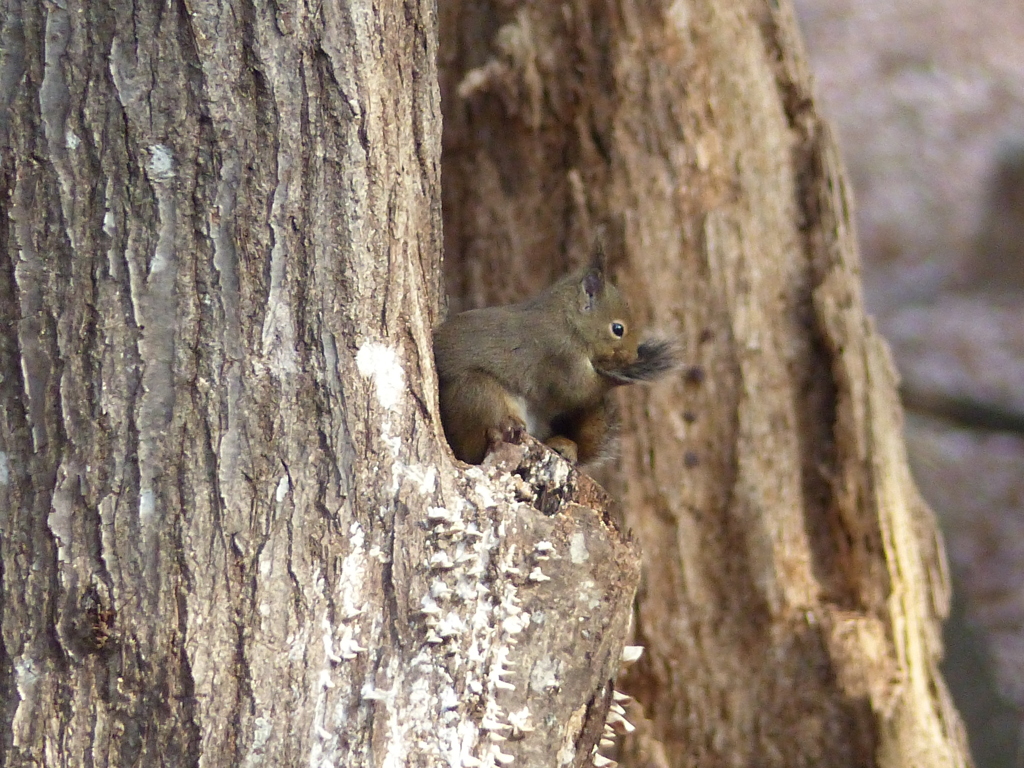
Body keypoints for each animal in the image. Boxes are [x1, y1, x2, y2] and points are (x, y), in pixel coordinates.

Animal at [434, 252, 679, 466]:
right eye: (618, 329)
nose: (632, 356)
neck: (568, 321)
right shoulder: (561, 354)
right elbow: (577, 391)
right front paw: (631, 372)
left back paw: (564, 445)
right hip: (476, 394)